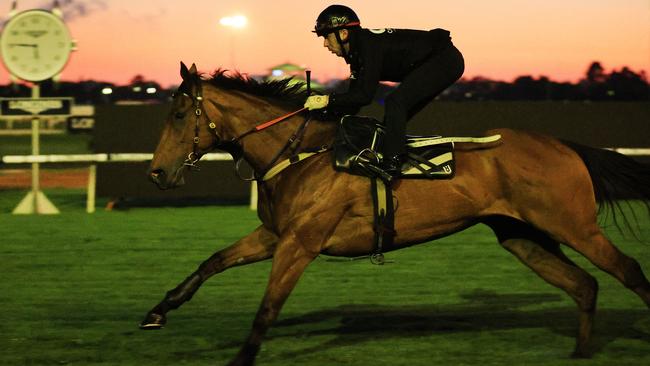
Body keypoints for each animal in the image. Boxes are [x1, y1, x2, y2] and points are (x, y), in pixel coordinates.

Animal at [142, 63, 648, 366]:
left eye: (180, 114)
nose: (157, 173)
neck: (300, 154)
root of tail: (565, 146)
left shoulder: (300, 243)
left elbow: (268, 306)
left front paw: (241, 359)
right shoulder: (275, 234)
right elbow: (212, 262)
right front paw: (157, 311)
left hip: (573, 225)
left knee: (628, 269)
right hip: (523, 237)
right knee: (584, 285)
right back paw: (579, 353)